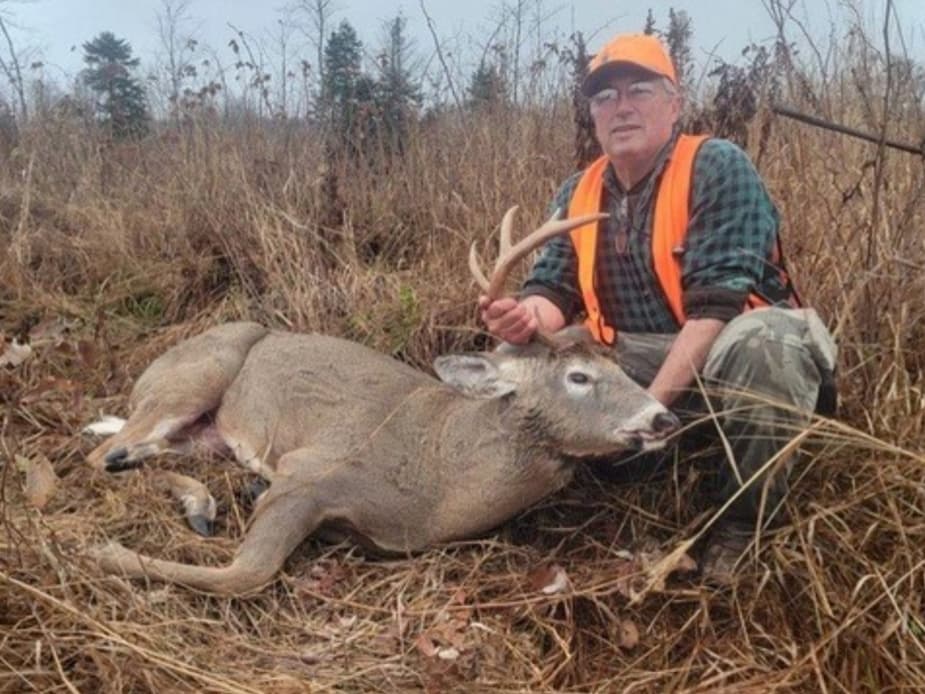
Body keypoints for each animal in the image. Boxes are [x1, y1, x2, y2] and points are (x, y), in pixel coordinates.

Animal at [86, 207, 680, 596]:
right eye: (579, 376)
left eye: (622, 369)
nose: (662, 417)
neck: (440, 471)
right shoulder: (310, 468)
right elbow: (245, 574)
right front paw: (106, 553)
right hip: (197, 376)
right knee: (103, 456)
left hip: (203, 435)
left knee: (141, 454)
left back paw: (199, 502)